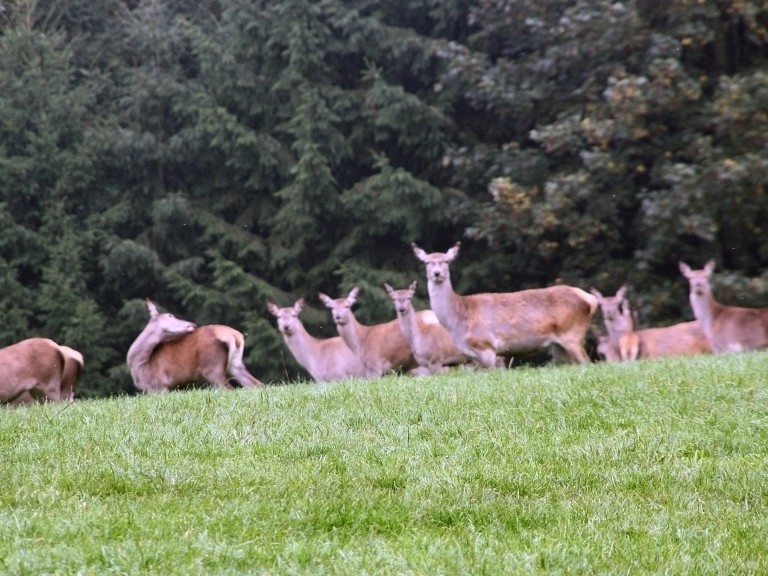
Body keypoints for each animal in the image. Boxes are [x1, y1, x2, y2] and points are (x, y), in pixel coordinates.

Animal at [127, 300, 264, 394]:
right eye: (170, 315)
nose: (192, 323)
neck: (140, 365)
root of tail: (235, 336)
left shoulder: (157, 386)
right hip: (235, 364)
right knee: (256, 384)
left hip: (211, 366)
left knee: (228, 388)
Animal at [414, 242, 600, 366]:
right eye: (427, 262)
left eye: (446, 261)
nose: (437, 273)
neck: (458, 320)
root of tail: (590, 299)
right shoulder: (473, 356)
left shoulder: (486, 346)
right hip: (559, 344)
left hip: (572, 334)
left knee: (586, 363)